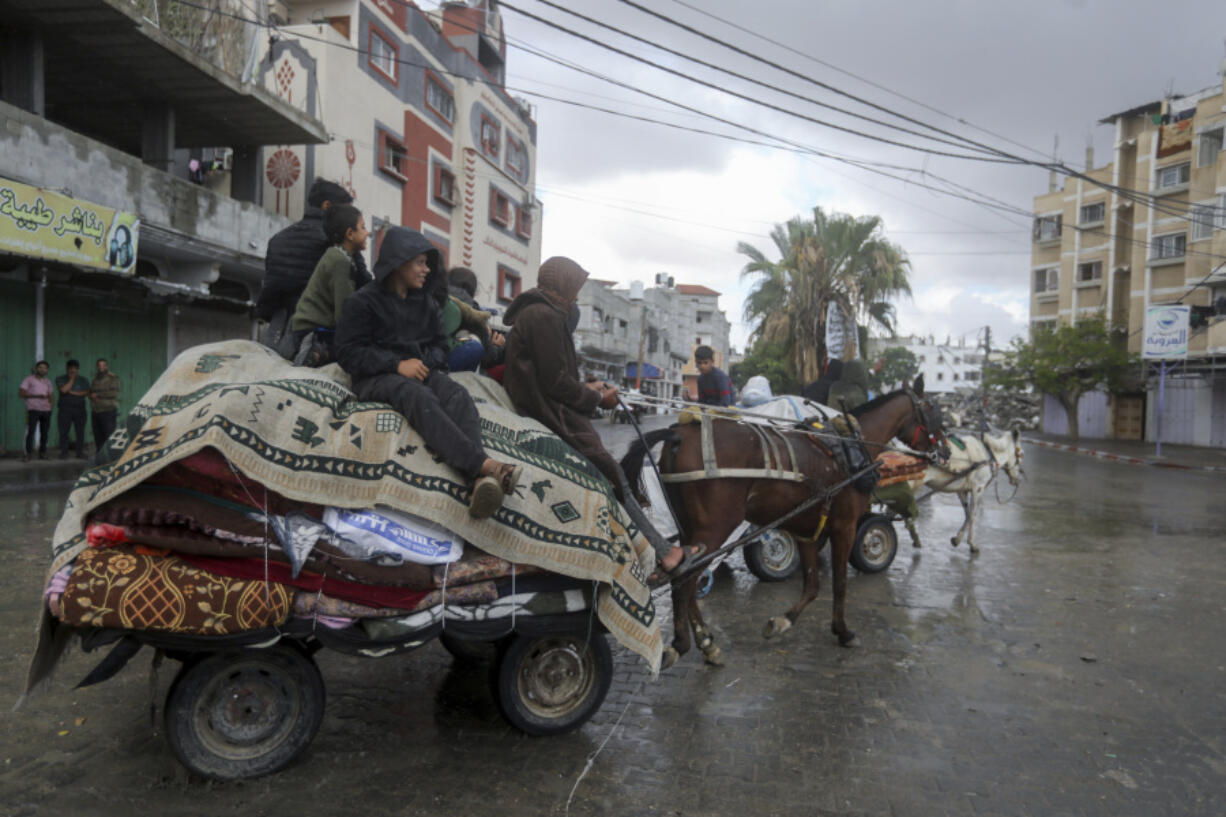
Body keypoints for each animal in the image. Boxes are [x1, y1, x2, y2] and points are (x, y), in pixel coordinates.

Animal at [622, 377, 946, 667]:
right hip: (715, 528)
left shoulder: (806, 530)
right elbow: (839, 583)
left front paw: (782, 621)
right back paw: (681, 644)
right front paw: (844, 632)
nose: (943, 451)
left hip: (691, 529)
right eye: (932, 410)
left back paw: (707, 643)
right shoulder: (845, 526)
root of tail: (679, 435)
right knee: (683, 581)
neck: (851, 447)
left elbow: (813, 584)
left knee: (685, 577)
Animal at [921, 426, 1024, 554]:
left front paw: (957, 539)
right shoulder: (978, 489)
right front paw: (971, 544)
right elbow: (973, 515)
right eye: (1021, 454)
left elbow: (968, 513)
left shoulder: (962, 490)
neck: (988, 453)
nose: (1018, 479)